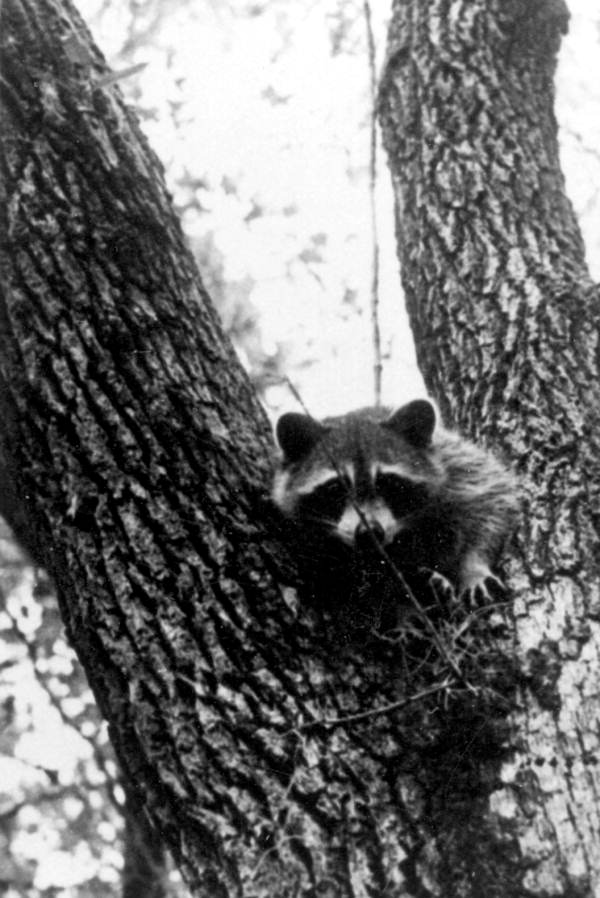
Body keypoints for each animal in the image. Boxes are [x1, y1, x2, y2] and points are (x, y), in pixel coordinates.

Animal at [272, 399, 517, 600]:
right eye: (336, 488)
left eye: (388, 482)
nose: (369, 532)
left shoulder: (453, 463)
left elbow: (490, 500)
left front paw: (473, 568)